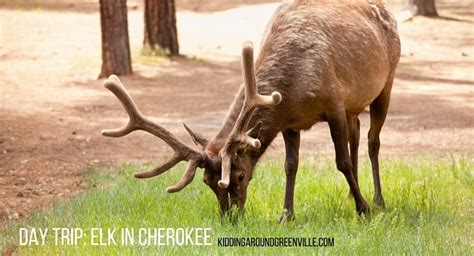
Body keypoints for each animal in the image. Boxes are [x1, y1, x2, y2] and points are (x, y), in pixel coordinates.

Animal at [101, 0, 400, 220]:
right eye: (207, 182)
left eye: (240, 175)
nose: (230, 217)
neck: (292, 92)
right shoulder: (291, 122)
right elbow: (290, 165)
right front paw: (286, 215)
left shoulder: (334, 103)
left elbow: (341, 161)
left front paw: (363, 210)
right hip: (354, 103)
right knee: (356, 132)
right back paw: (352, 193)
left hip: (386, 82)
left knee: (372, 141)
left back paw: (378, 200)